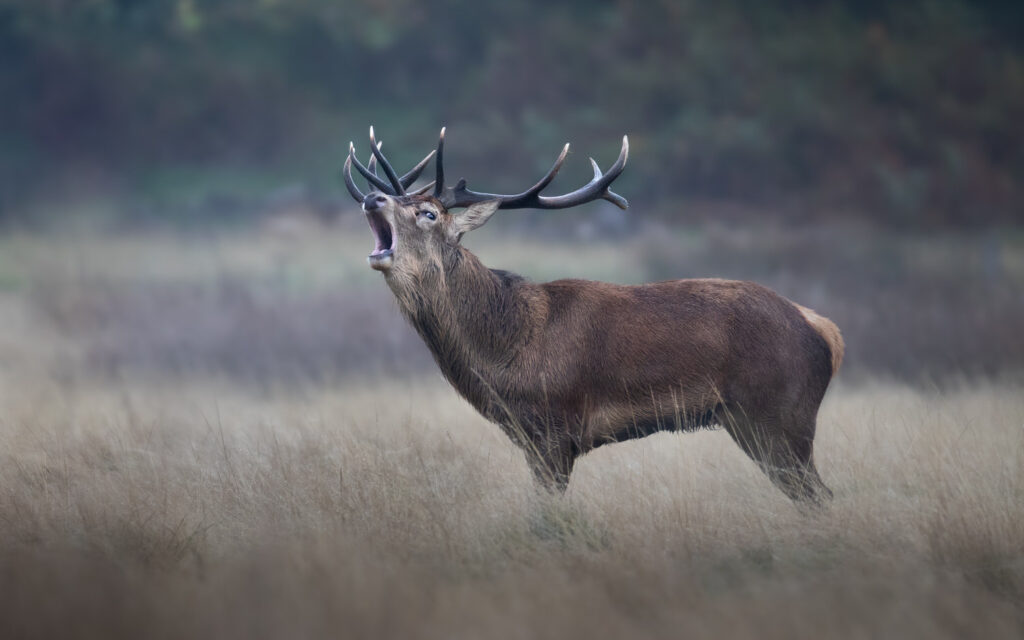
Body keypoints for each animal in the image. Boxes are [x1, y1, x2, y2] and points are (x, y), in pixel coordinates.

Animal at [342, 127, 844, 506]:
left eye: (427, 213)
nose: (372, 199)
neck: (506, 352)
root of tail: (827, 332)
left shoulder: (556, 430)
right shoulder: (531, 438)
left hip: (780, 415)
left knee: (821, 496)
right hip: (753, 422)